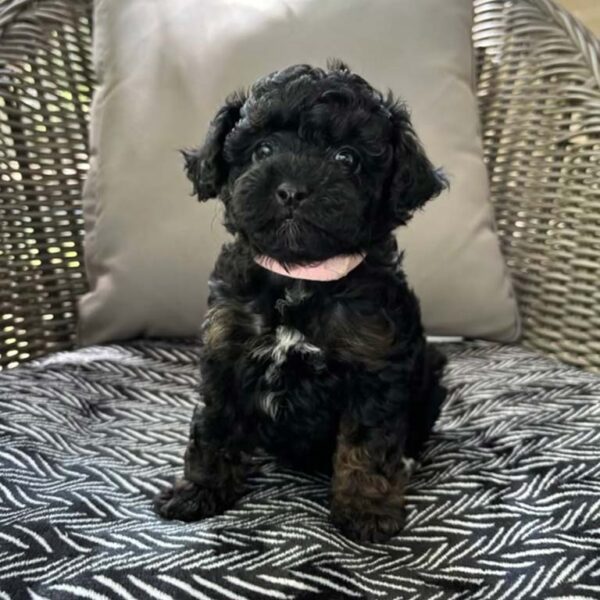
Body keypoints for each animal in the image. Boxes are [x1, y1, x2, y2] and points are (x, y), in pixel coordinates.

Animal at [157, 61, 448, 544]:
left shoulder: (375, 366)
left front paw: (366, 507)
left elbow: (367, 444)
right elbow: (214, 427)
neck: (300, 276)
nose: (292, 190)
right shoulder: (225, 352)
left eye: (347, 158)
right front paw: (200, 490)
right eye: (262, 149)